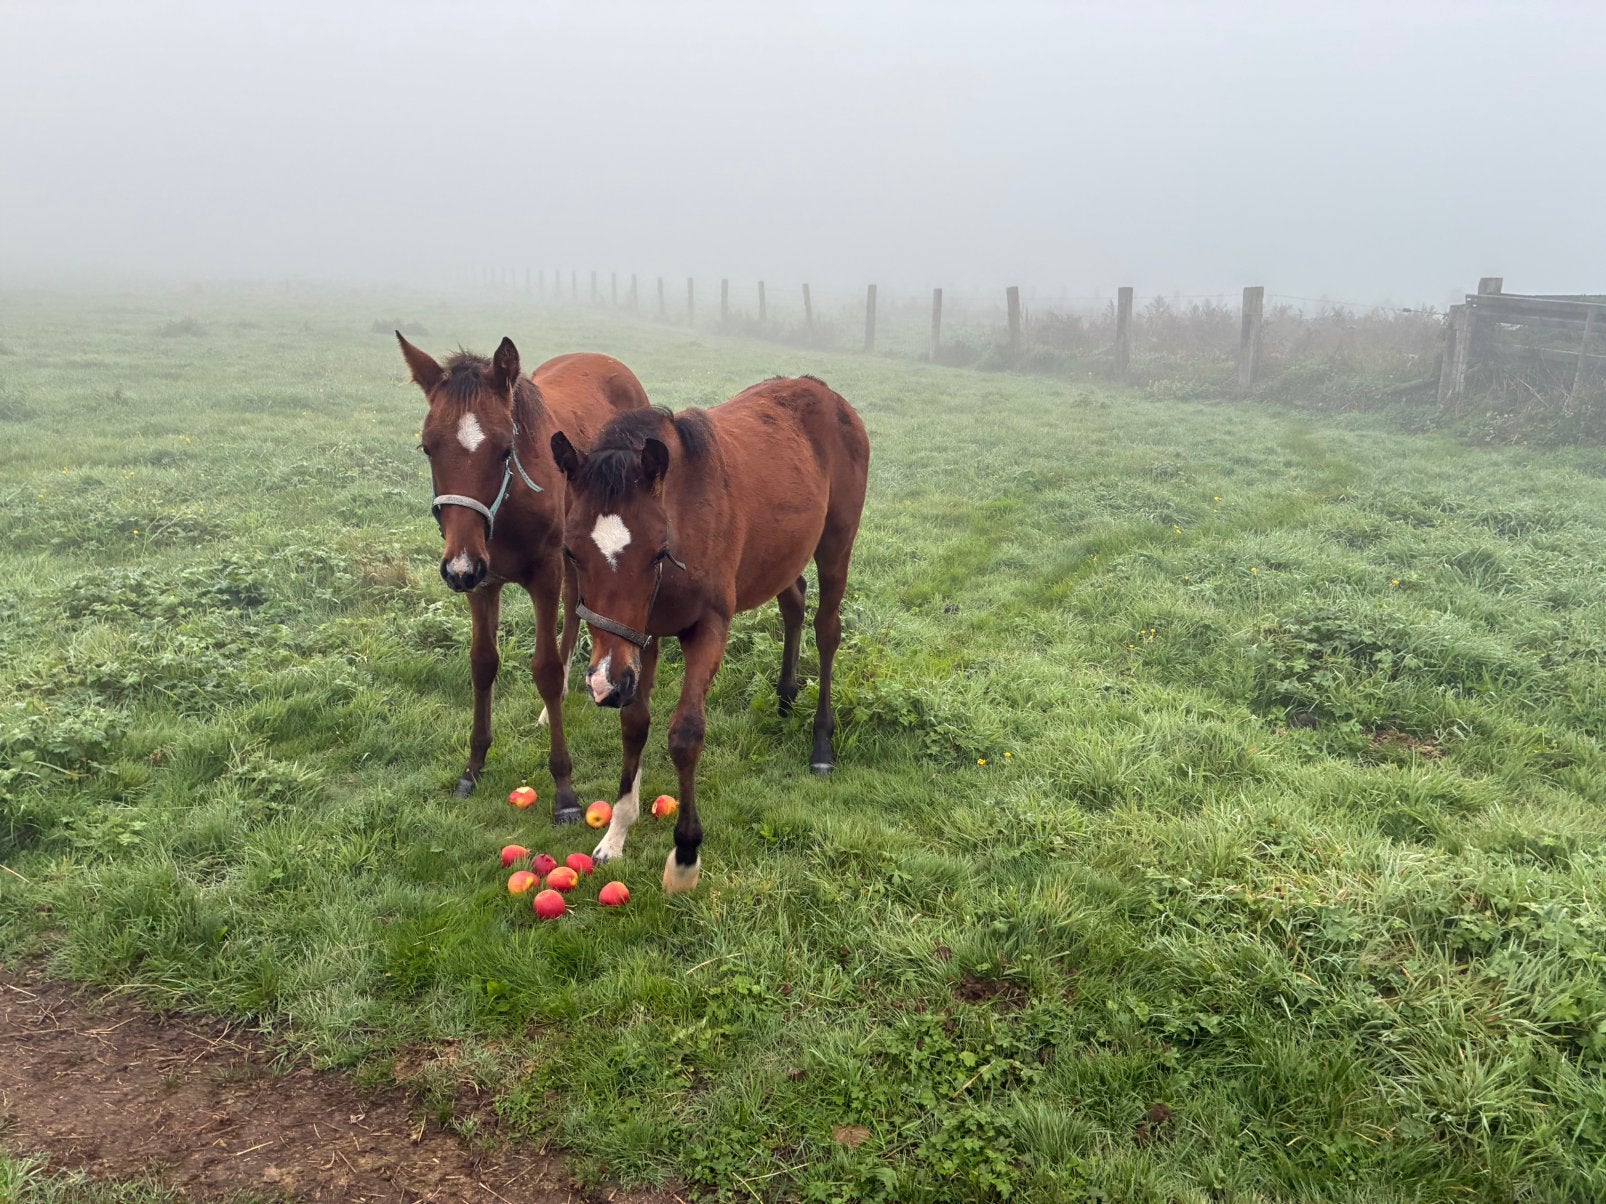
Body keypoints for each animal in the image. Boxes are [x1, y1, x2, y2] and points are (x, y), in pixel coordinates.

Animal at [397, 333, 650, 822]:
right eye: (427, 447)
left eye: (503, 449)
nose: (457, 567)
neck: (507, 509)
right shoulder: (482, 582)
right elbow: (483, 663)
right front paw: (473, 766)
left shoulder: (544, 574)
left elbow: (545, 669)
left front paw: (565, 791)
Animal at [549, 375, 870, 892]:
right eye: (571, 552)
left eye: (658, 553)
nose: (604, 684)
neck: (683, 515)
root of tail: (823, 391)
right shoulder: (643, 636)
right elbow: (635, 724)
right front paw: (616, 834)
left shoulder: (709, 628)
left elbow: (685, 735)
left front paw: (685, 854)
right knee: (793, 601)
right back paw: (785, 695)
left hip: (837, 543)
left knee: (827, 630)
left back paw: (822, 744)